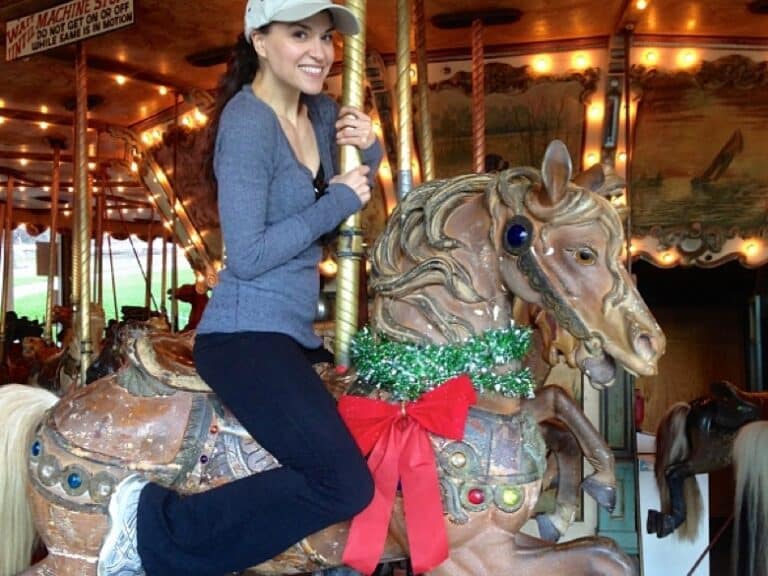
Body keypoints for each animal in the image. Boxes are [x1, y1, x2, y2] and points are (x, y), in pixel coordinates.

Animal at [0, 140, 665, 576]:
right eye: (582, 252)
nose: (649, 345)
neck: (429, 386)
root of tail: (57, 410)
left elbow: (559, 418)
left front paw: (593, 488)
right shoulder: (473, 556)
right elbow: (607, 560)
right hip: (76, 549)